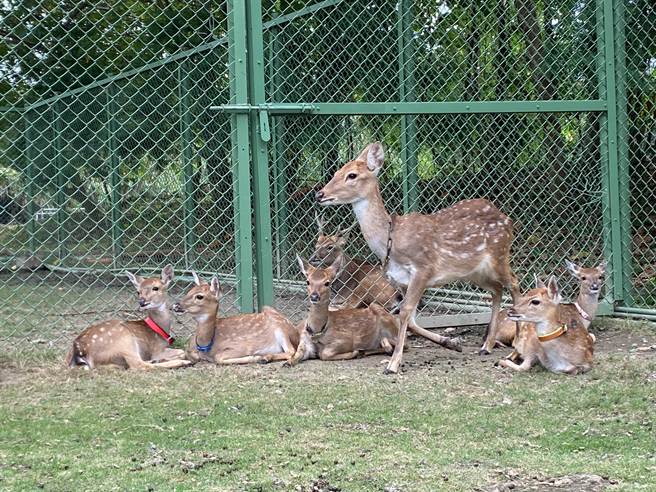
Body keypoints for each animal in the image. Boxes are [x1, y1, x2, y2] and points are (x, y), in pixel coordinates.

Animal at [172, 272, 300, 366]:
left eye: (199, 296)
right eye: (189, 291)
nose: (176, 305)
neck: (207, 345)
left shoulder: (242, 346)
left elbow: (219, 357)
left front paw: (255, 357)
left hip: (280, 327)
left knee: (291, 350)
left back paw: (264, 357)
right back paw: (266, 357)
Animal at [316, 142, 520, 372]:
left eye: (352, 175)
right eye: (336, 172)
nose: (320, 194)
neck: (391, 242)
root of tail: (507, 219)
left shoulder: (423, 269)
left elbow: (405, 313)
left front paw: (393, 364)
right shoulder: (401, 281)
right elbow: (410, 318)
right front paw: (449, 343)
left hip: (499, 255)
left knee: (514, 283)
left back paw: (514, 348)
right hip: (474, 272)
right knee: (497, 290)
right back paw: (486, 346)